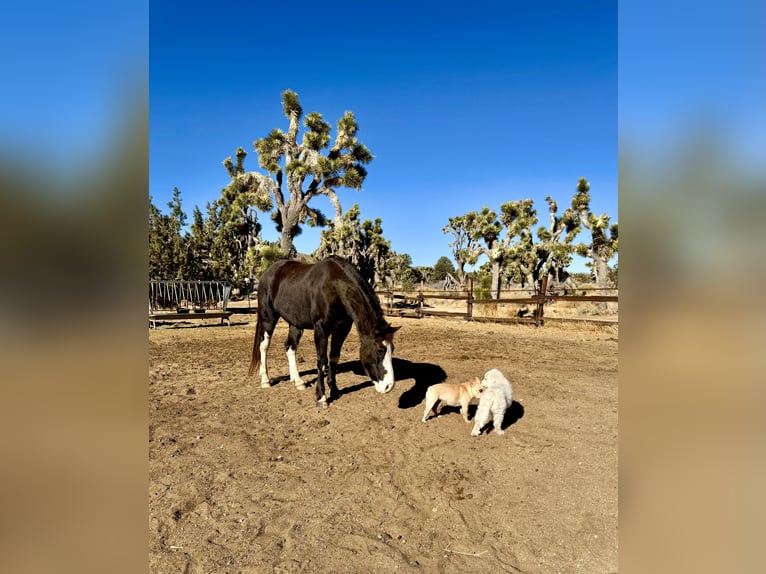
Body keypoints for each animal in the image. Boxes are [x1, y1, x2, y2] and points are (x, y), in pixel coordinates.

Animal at [248, 256, 400, 408]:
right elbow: (321, 361)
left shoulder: (342, 329)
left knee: (290, 346)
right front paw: (321, 397)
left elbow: (333, 358)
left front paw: (335, 390)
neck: (334, 287)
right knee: (264, 345)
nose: (389, 386)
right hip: (268, 317)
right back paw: (265, 380)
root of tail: (267, 273)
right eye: (379, 350)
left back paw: (297, 381)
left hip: (295, 323)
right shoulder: (321, 329)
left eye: (392, 348)